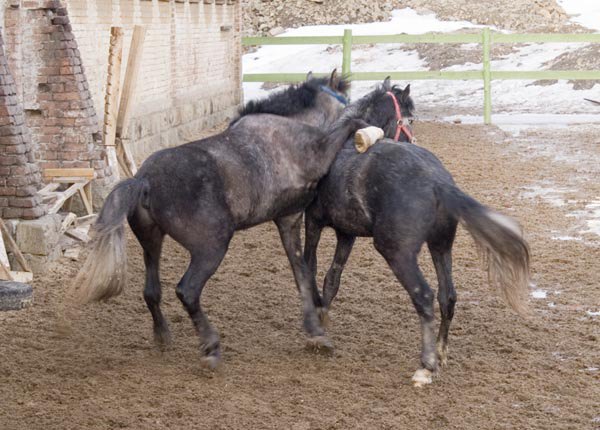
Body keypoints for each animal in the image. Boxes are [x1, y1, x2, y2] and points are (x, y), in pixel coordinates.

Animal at [72, 70, 368, 366]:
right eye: (346, 100)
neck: (289, 128)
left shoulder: (288, 221)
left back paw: (163, 337)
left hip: (152, 243)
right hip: (211, 248)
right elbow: (347, 127)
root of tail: (144, 181)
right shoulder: (317, 157)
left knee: (152, 291)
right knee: (187, 291)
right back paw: (211, 346)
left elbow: (302, 274)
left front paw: (315, 331)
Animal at [304, 79, 528, 388]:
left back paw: (426, 365)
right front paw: (324, 319)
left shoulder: (313, 221)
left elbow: (311, 267)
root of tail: (437, 181)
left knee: (424, 295)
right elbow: (332, 279)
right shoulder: (345, 233)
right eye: (410, 118)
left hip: (398, 252)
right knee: (447, 296)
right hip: (440, 246)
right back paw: (441, 353)